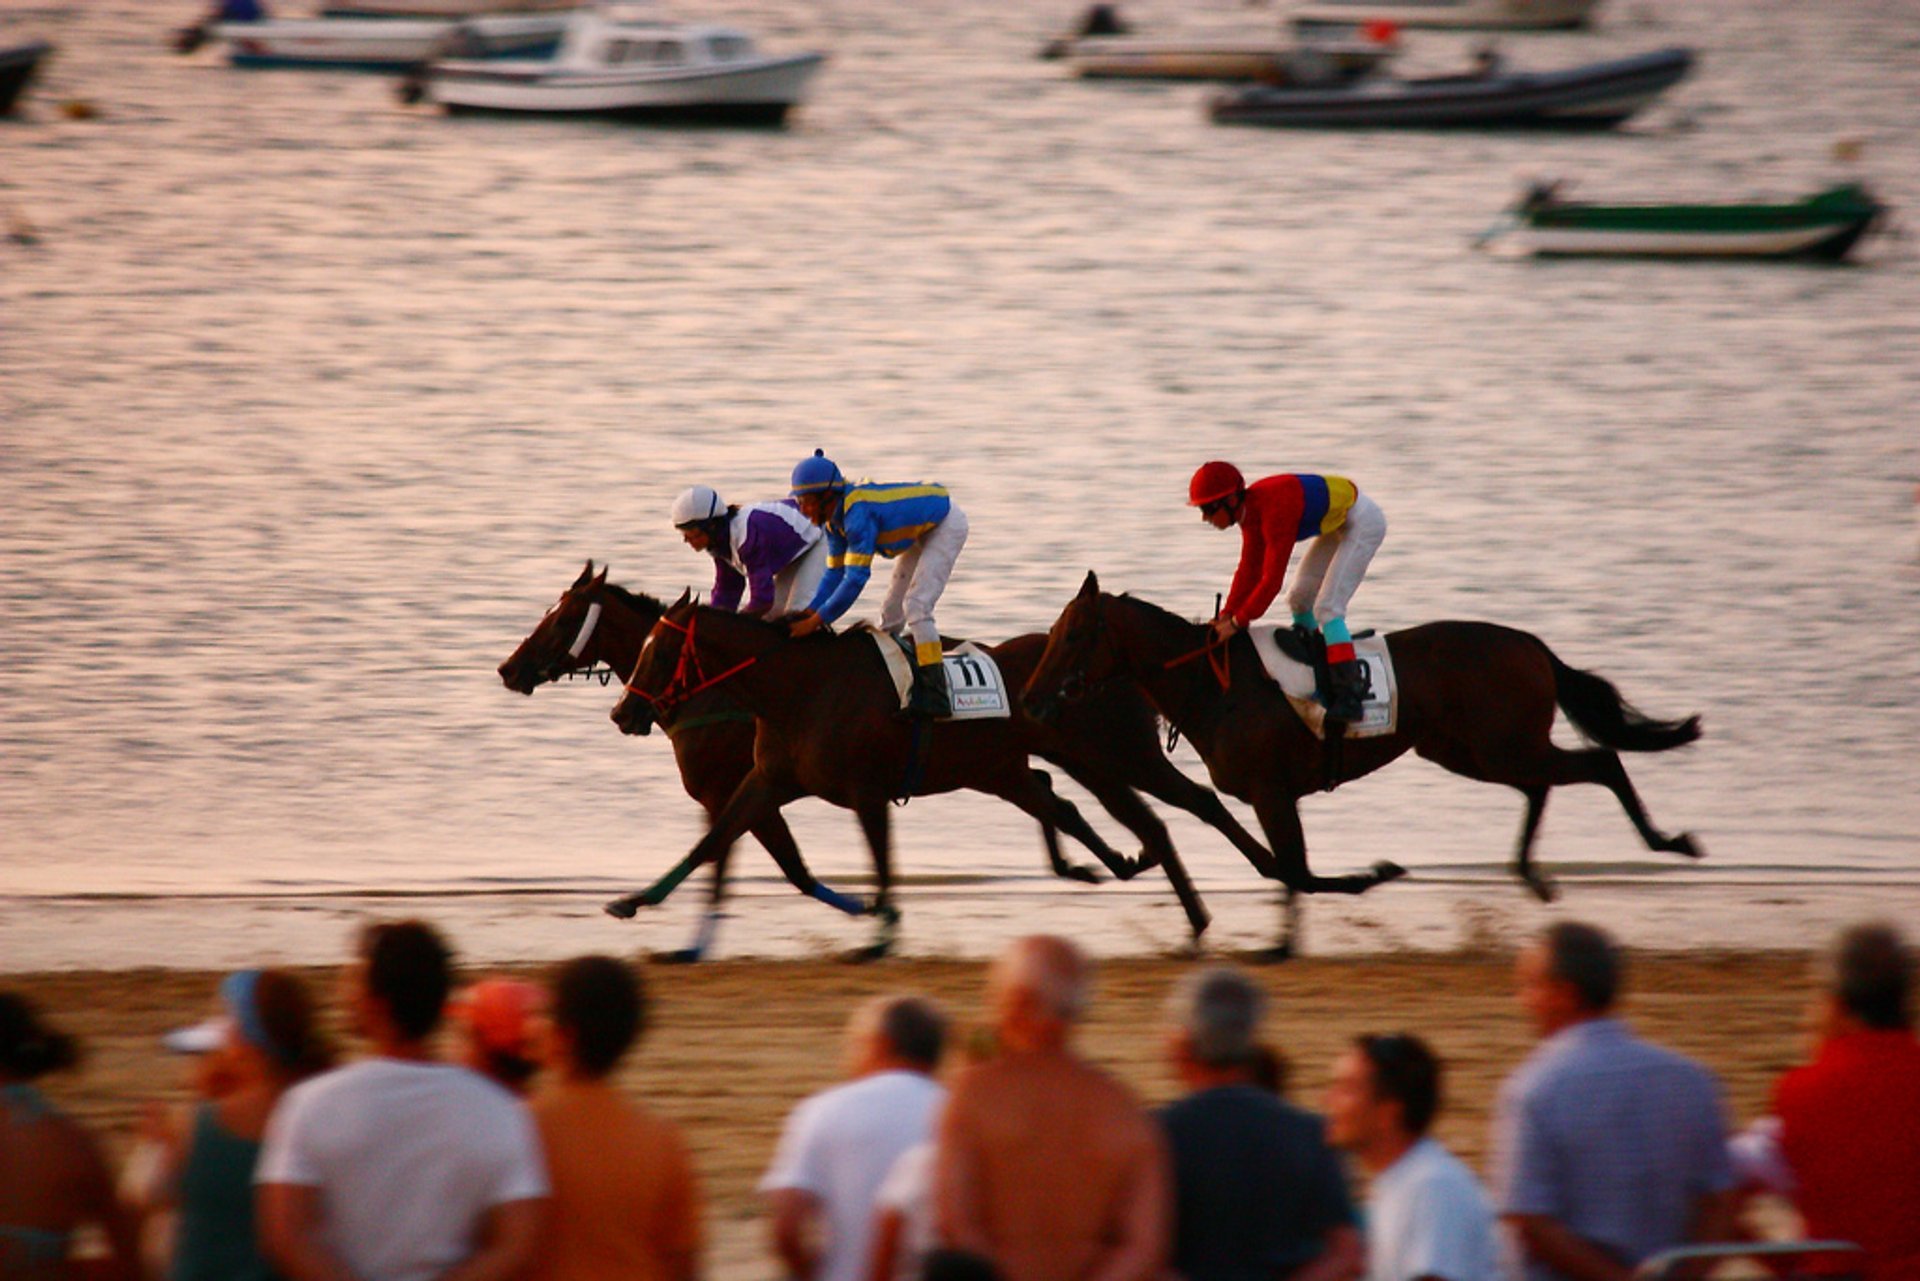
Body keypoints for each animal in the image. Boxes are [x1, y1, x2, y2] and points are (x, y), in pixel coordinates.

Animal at [599, 595, 1290, 956]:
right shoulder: (767, 780)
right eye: (643, 648)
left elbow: (881, 860)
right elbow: (712, 841)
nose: (623, 711)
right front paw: (632, 901)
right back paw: (1133, 870)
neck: (799, 688)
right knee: (1083, 809)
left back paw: (1235, 890)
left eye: (662, 650)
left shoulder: (867, 791)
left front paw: (881, 930)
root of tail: (1119, 669)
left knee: (1186, 806)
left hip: (1117, 755)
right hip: (1027, 766)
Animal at [1029, 576, 1704, 948]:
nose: (1034, 697)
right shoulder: (1268, 795)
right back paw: (1531, 874)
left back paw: (1669, 841)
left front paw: (1366, 877)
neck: (1214, 685)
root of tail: (1532, 643)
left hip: (1501, 745)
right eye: (1054, 632)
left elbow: (1296, 870)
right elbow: (1285, 866)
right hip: (1470, 751)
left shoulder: (1273, 793)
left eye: (1075, 635)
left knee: (1602, 761)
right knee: (1544, 785)